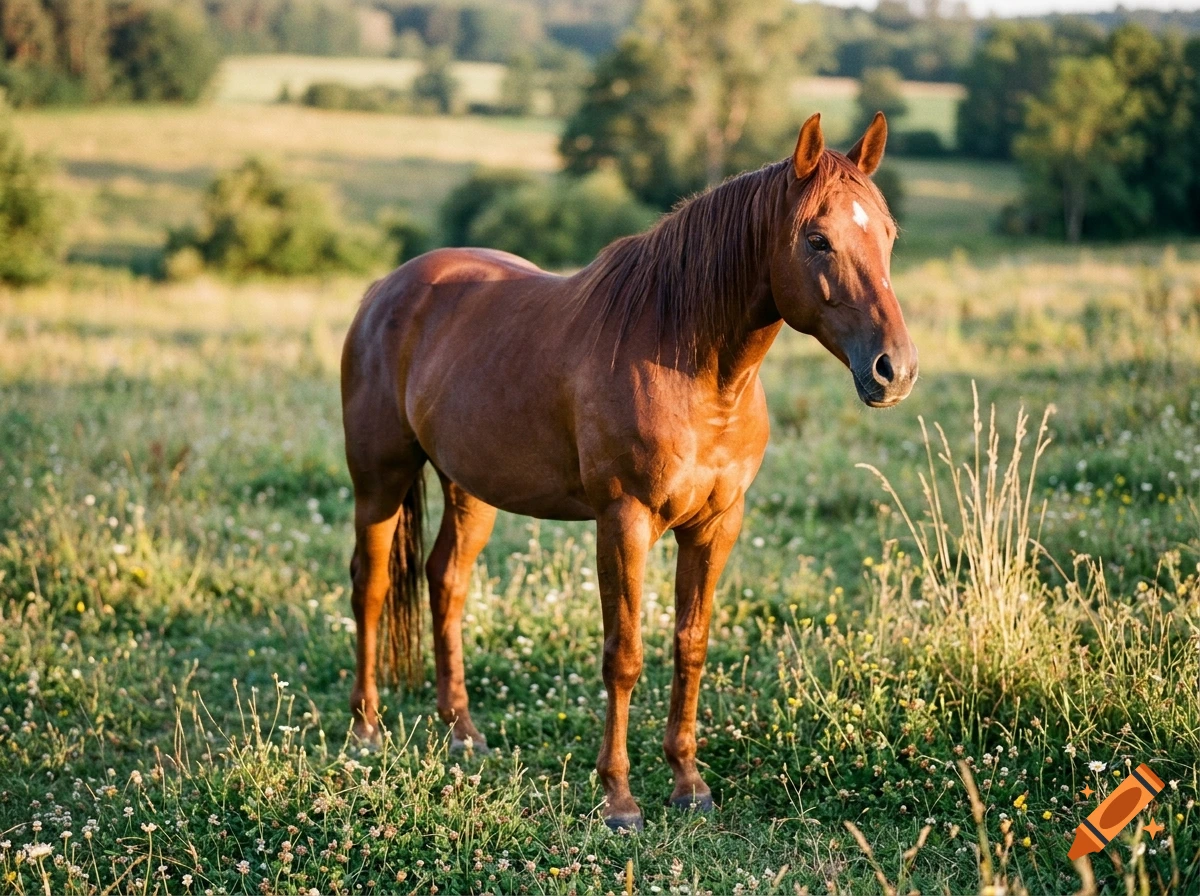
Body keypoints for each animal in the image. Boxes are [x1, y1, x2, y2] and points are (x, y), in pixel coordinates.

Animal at [340, 111, 917, 831]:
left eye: (888, 235)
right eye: (818, 239)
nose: (894, 369)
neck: (691, 362)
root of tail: (386, 289)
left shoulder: (717, 524)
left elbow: (690, 645)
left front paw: (689, 783)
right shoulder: (623, 520)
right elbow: (624, 654)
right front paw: (618, 797)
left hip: (468, 488)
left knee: (445, 581)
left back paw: (463, 733)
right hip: (379, 480)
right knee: (370, 586)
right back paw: (366, 729)